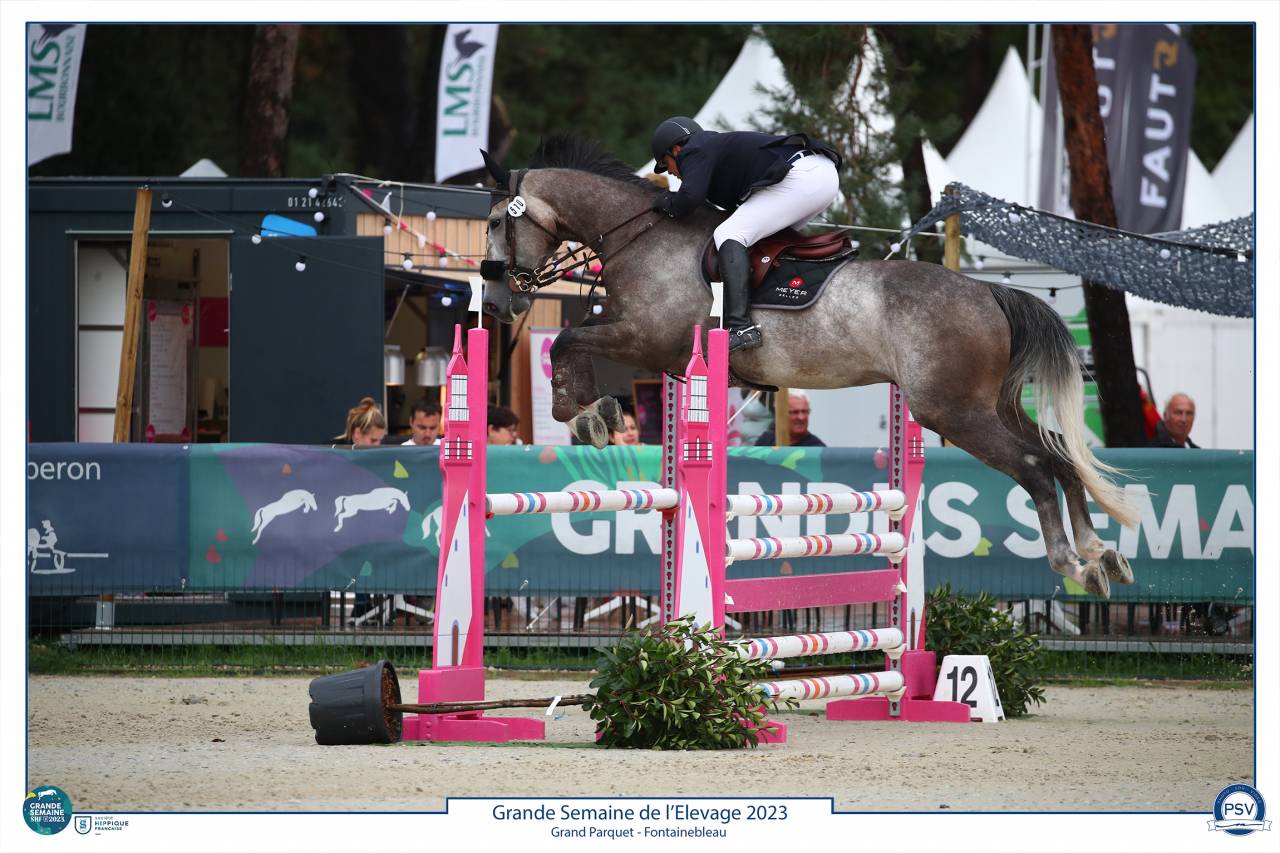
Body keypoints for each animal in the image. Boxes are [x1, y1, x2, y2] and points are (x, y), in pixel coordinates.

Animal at [476, 135, 1138, 599]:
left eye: (494, 222)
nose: (500, 302)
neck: (640, 238)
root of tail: (989, 293)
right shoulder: (650, 346)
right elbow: (574, 339)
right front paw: (597, 412)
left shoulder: (649, 340)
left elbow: (566, 339)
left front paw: (580, 413)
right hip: (990, 403)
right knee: (1058, 457)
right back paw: (1100, 554)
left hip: (952, 410)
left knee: (1034, 468)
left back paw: (1072, 563)